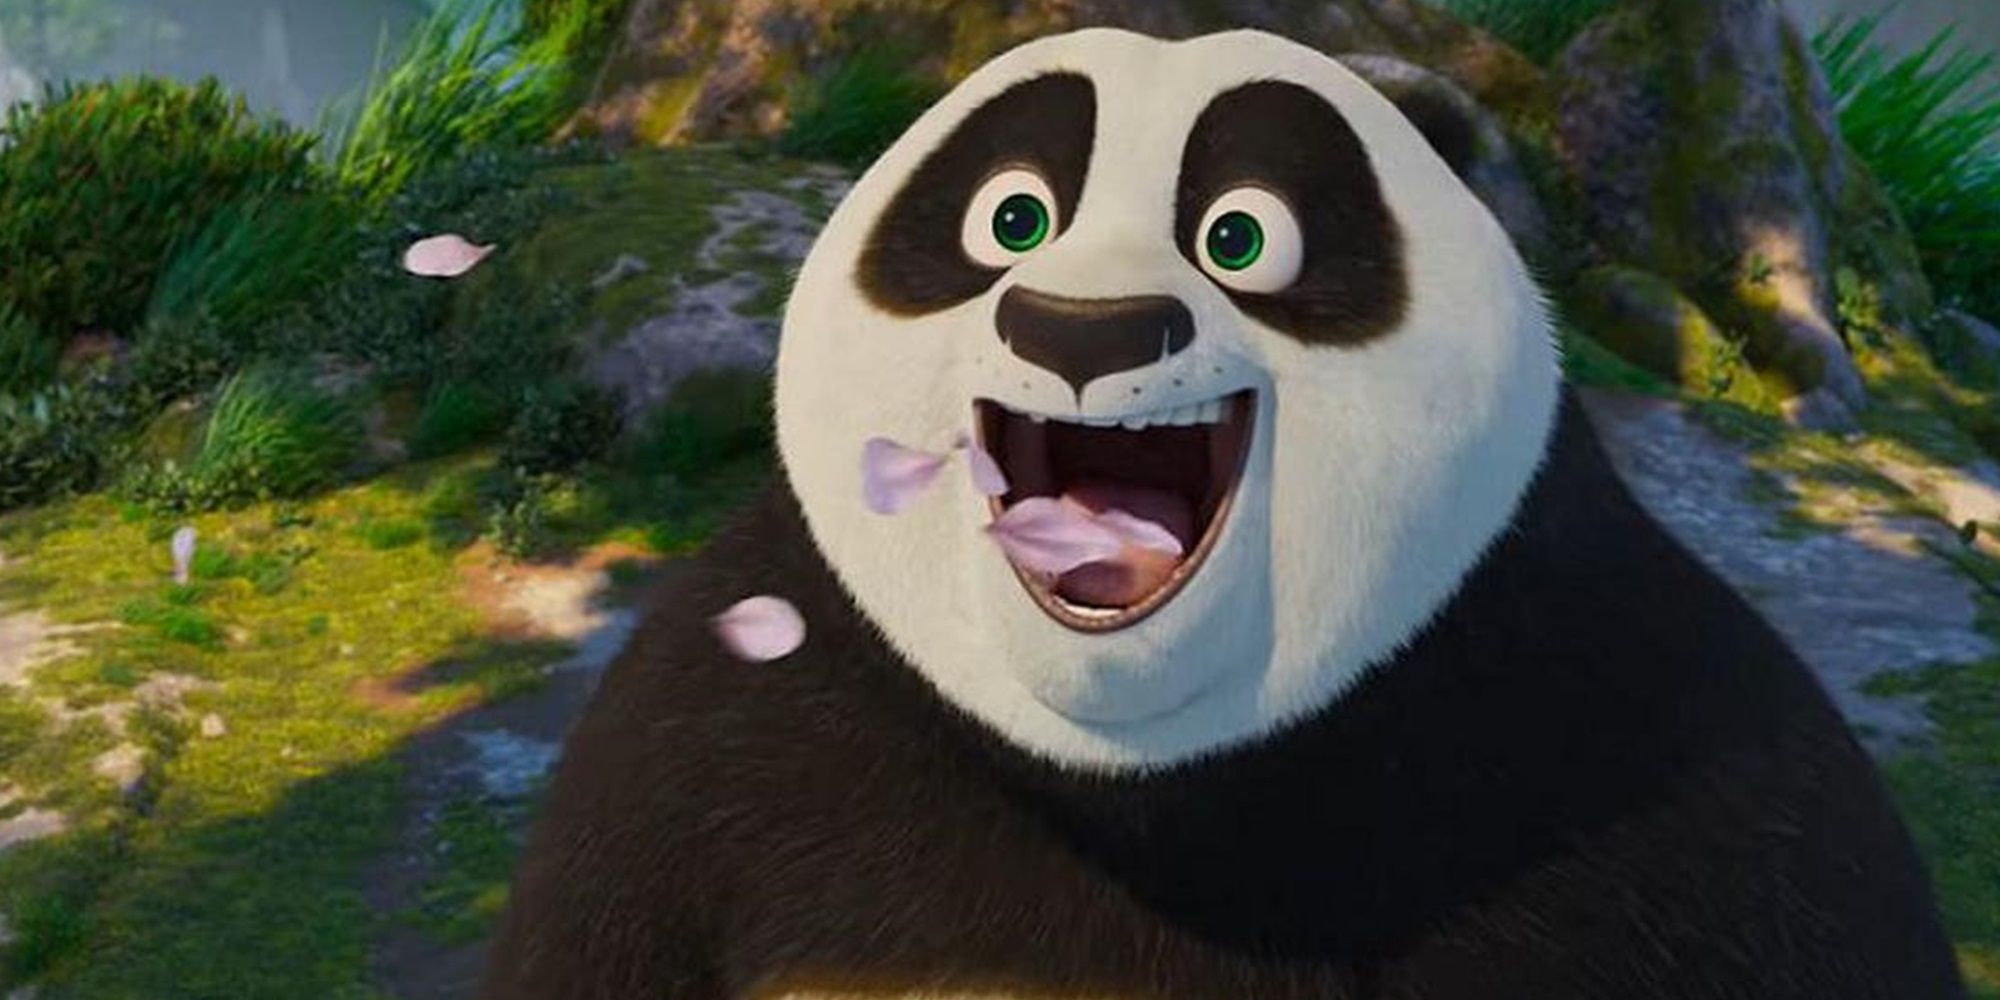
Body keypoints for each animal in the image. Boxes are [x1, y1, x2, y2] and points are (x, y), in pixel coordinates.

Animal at [480, 28, 1965, 1000]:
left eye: (1240, 236)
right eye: (1011, 218)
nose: (1083, 329)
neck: (1138, 772)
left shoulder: (1650, 734)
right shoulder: (715, 732)